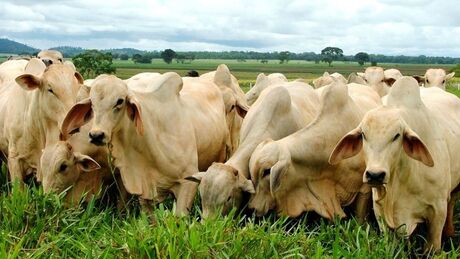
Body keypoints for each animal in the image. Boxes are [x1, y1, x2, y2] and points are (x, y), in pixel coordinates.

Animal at [328, 76, 458, 252]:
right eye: (363, 135)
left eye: (397, 136)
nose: (375, 175)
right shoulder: (381, 213)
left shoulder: (438, 211)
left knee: (452, 202)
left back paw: (450, 232)